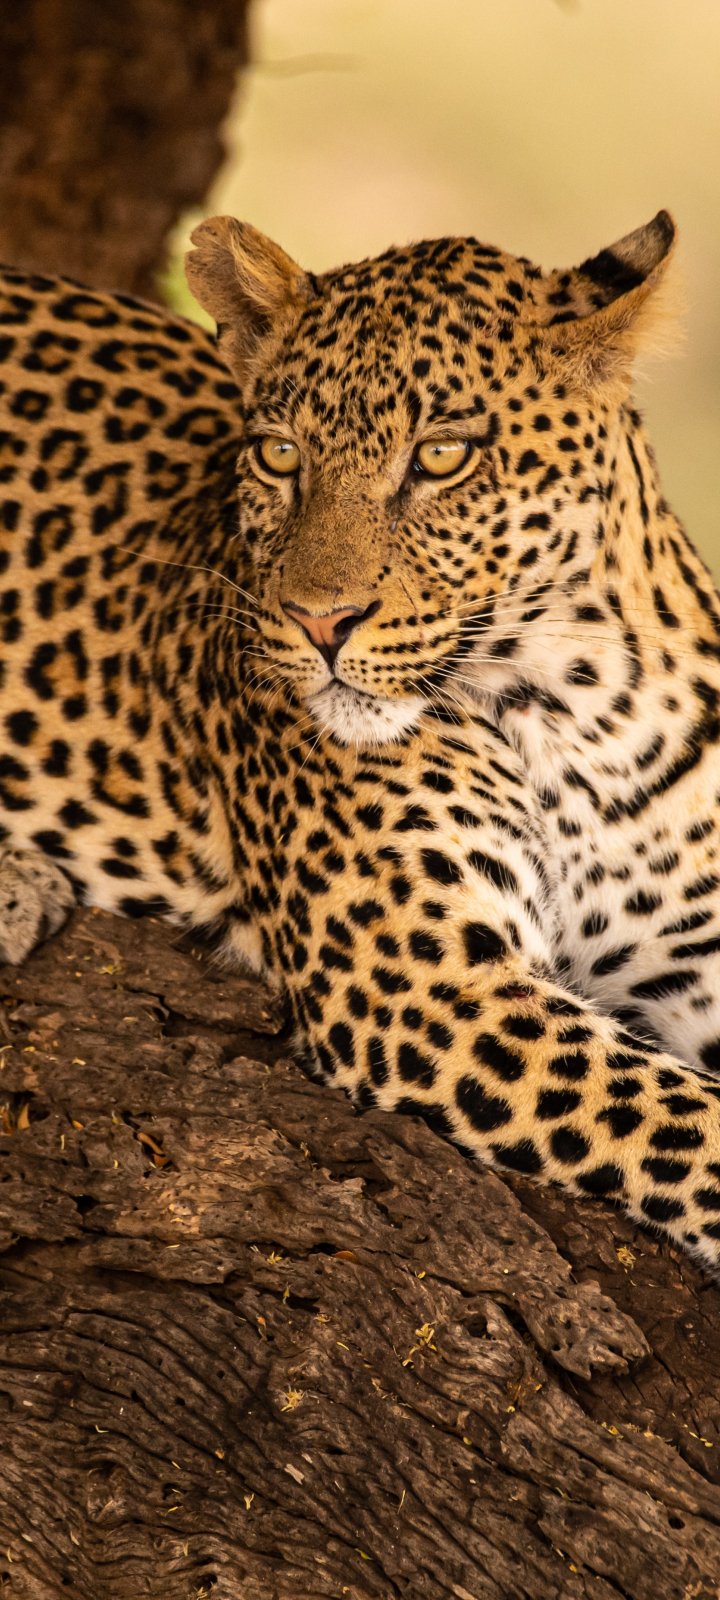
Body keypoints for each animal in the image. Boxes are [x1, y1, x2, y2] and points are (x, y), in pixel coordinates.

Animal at [3, 208, 720, 1276]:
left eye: (442, 457)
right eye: (279, 456)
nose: (318, 623)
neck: (580, 711)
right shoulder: (425, 984)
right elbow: (688, 1122)